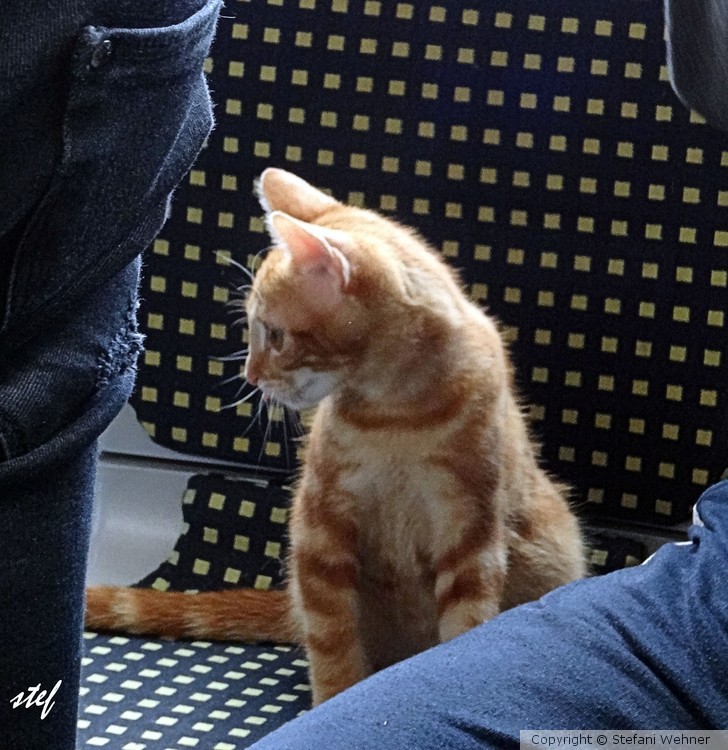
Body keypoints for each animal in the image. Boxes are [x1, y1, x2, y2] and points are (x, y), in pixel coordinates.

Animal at [84, 167, 584, 708]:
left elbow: (466, 631)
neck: (396, 415)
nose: (251, 376)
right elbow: (332, 642)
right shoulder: (320, 527)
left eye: (275, 336)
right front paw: (334, 700)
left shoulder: (471, 529)